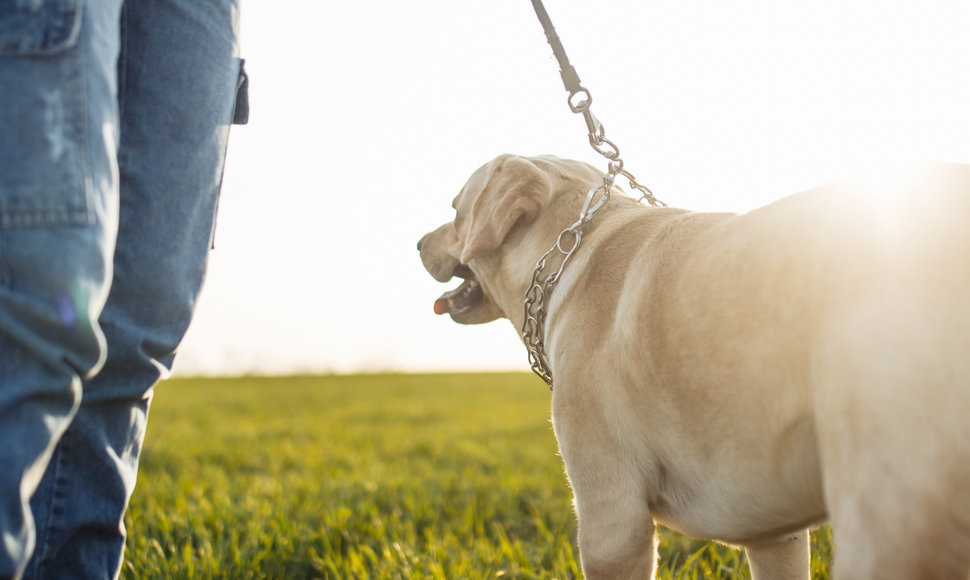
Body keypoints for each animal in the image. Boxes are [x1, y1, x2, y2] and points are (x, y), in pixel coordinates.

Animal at [416, 154, 968, 580]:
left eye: (454, 210)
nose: (418, 243)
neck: (570, 251)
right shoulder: (776, 534)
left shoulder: (612, 521)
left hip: (890, 514)